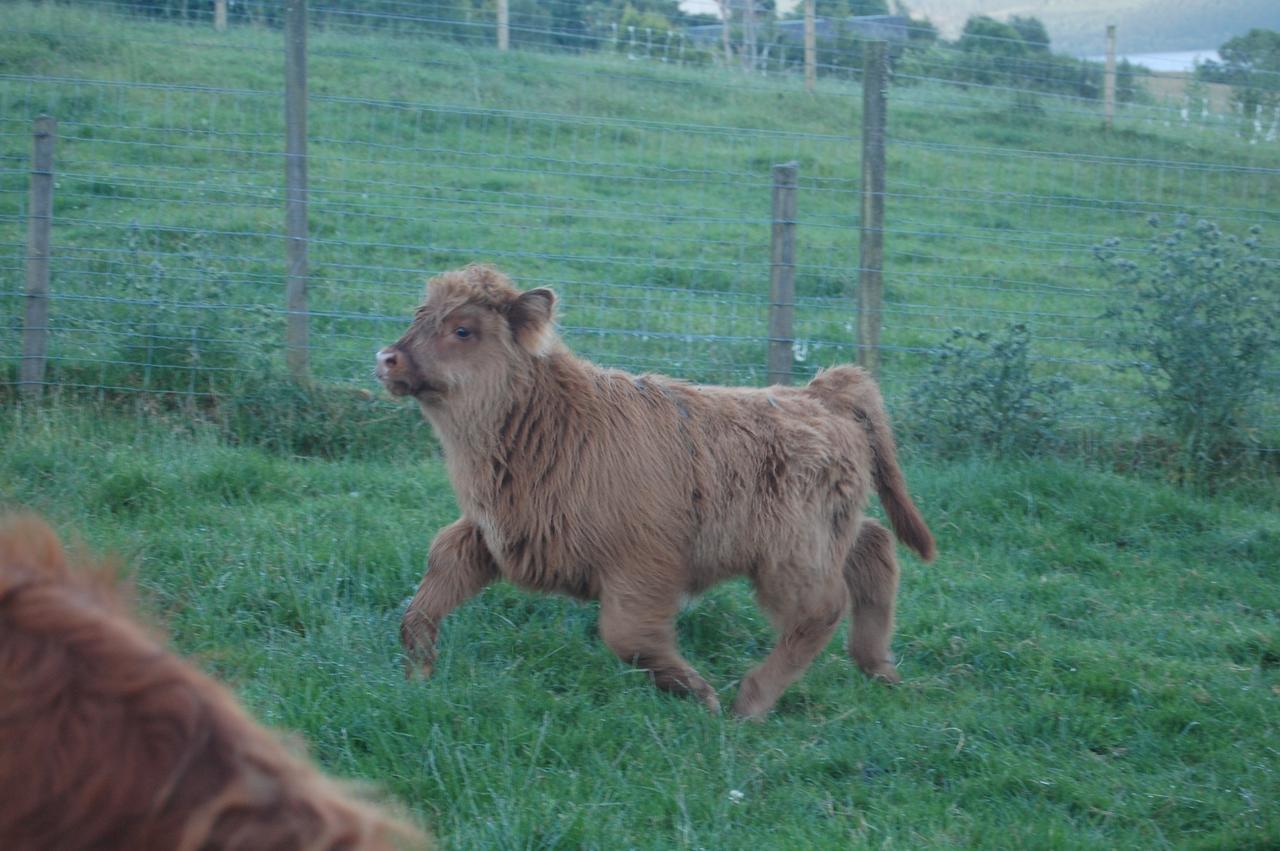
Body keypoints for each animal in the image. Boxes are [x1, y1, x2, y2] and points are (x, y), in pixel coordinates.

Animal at [373, 266, 936, 716]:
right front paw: (419, 671)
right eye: (419, 315)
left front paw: (699, 692)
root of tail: (821, 392)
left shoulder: (643, 562)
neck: (555, 425)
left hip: (791, 553)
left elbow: (628, 635)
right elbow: (433, 583)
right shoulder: (496, 532)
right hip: (826, 532)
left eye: (462, 329)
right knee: (874, 548)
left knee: (820, 609)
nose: (386, 358)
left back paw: (751, 701)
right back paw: (878, 667)